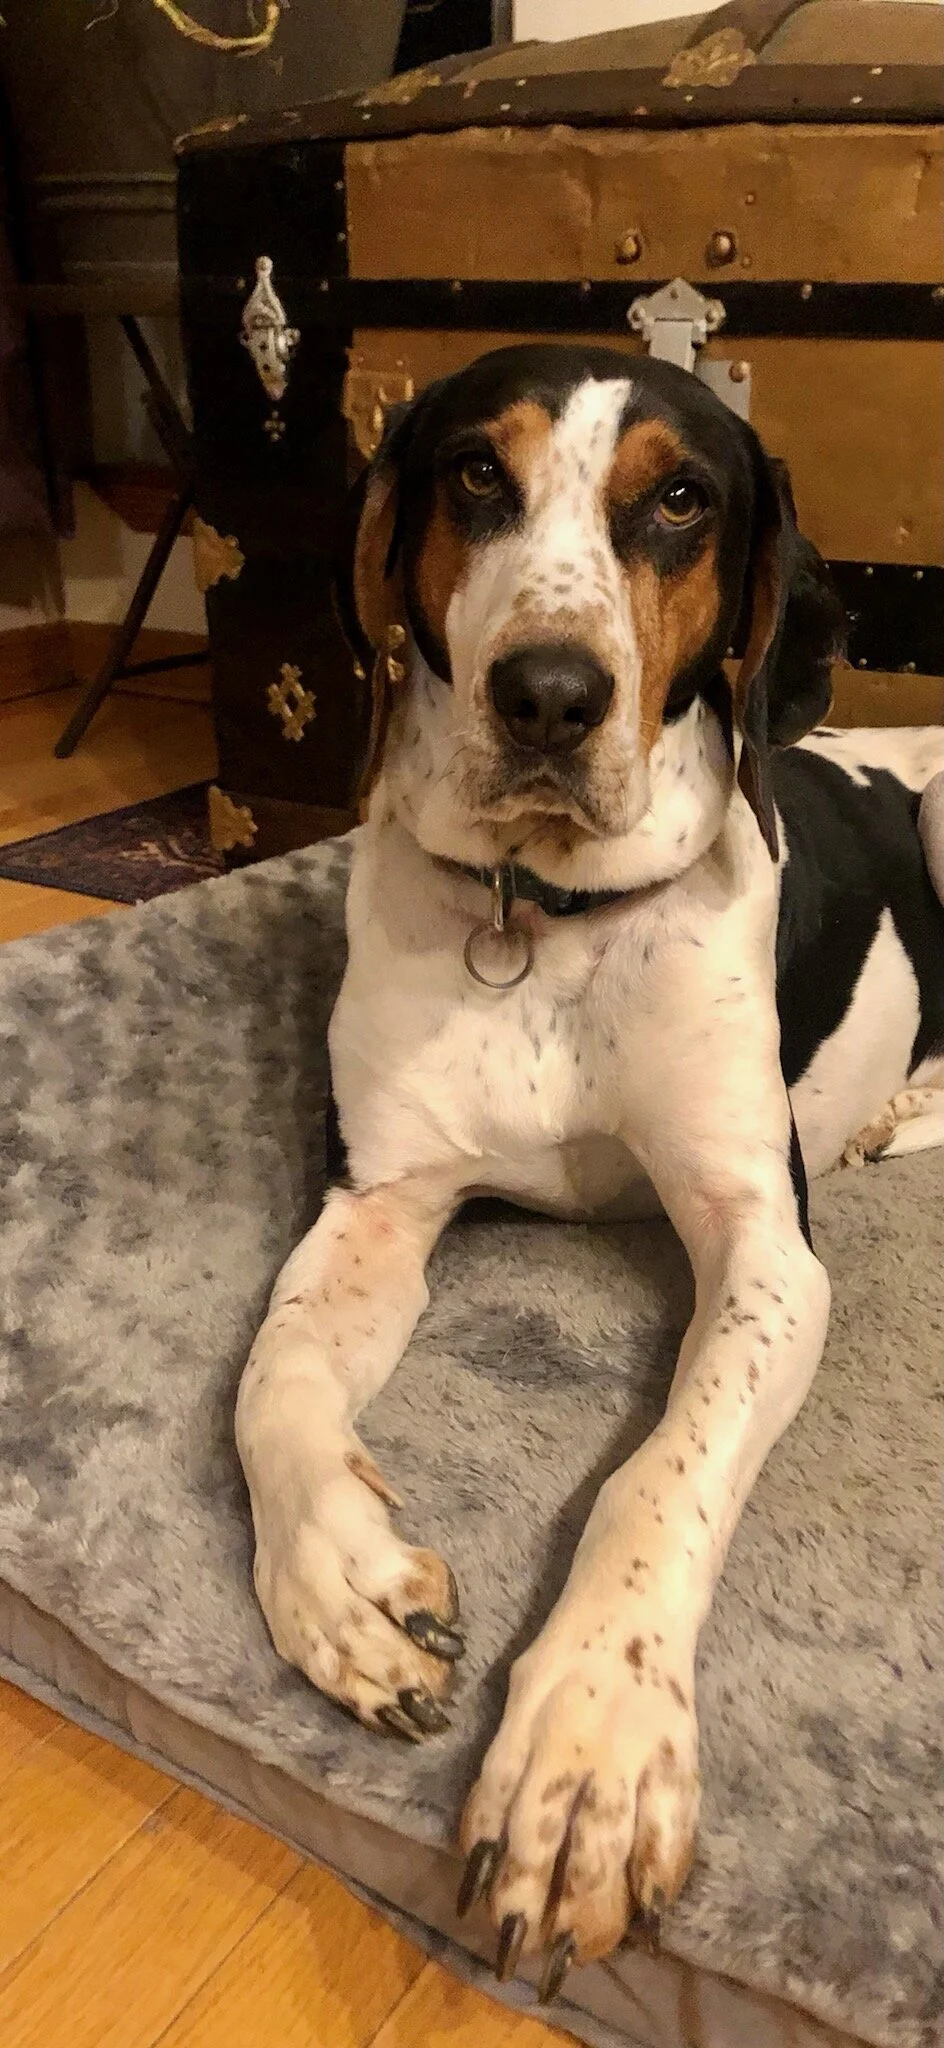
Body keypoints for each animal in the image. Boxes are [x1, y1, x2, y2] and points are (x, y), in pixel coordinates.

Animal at [236, 344, 944, 2003]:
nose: (549, 694)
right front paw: (338, 1581)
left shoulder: (762, 1244)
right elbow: (272, 1375)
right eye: (474, 475)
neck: (543, 919)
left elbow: (660, 1473)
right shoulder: (378, 1203)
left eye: (680, 498)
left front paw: (591, 1751)